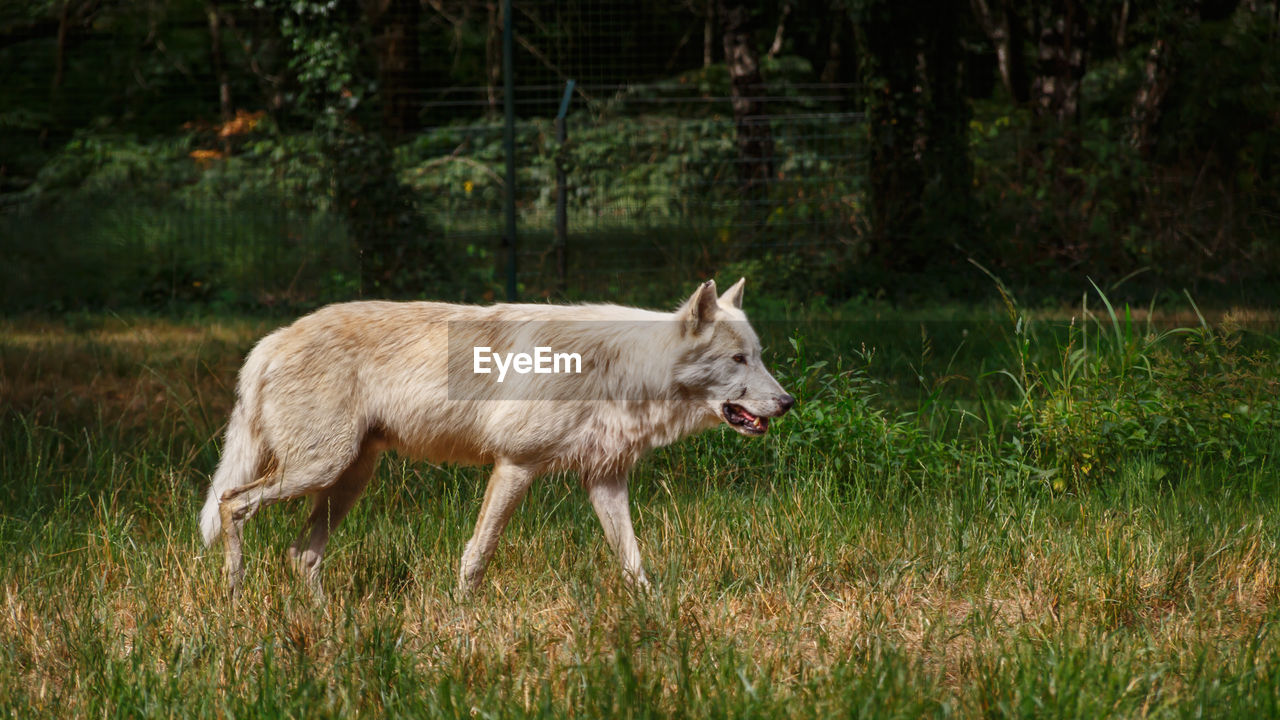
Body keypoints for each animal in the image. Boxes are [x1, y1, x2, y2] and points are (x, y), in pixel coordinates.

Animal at [197, 278, 788, 597]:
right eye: (738, 359)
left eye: (758, 356)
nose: (787, 402)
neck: (619, 370)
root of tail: (272, 339)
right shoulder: (515, 467)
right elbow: (476, 555)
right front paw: (462, 617)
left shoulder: (605, 482)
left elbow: (634, 561)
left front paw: (656, 615)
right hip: (319, 470)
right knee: (231, 503)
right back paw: (234, 598)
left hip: (347, 477)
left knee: (301, 554)